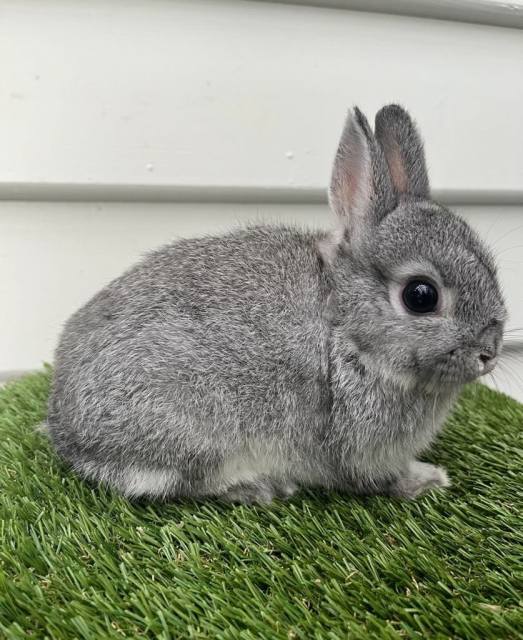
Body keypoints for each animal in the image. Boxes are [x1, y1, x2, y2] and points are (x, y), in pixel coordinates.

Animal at [47, 105, 506, 504]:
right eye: (420, 296)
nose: (488, 354)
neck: (344, 329)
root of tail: (68, 434)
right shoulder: (356, 449)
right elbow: (376, 478)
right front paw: (426, 480)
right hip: (193, 432)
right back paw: (257, 488)